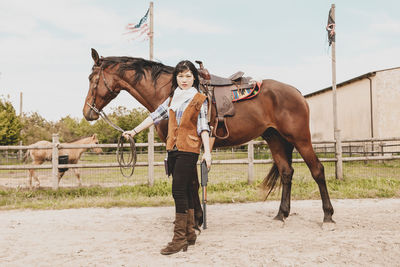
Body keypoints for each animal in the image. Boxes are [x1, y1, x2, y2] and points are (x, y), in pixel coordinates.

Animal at [83, 48, 334, 226]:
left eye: (91, 78)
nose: (87, 112)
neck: (170, 91)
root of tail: (296, 93)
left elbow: (191, 182)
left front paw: (196, 220)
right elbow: (191, 182)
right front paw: (195, 218)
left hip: (300, 138)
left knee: (317, 170)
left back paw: (328, 216)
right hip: (275, 138)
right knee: (286, 172)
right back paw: (282, 214)